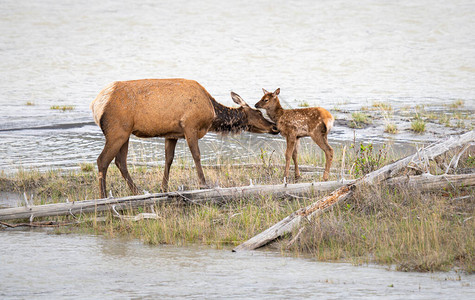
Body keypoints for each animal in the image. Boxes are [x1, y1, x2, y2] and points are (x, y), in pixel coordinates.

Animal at [91, 78, 278, 198]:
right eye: (258, 112)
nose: (274, 127)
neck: (212, 114)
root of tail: (95, 104)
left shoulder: (172, 134)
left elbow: (169, 159)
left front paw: (164, 188)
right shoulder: (190, 126)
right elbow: (196, 155)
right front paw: (203, 184)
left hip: (125, 132)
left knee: (120, 161)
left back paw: (136, 192)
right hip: (117, 130)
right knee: (102, 160)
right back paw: (103, 196)